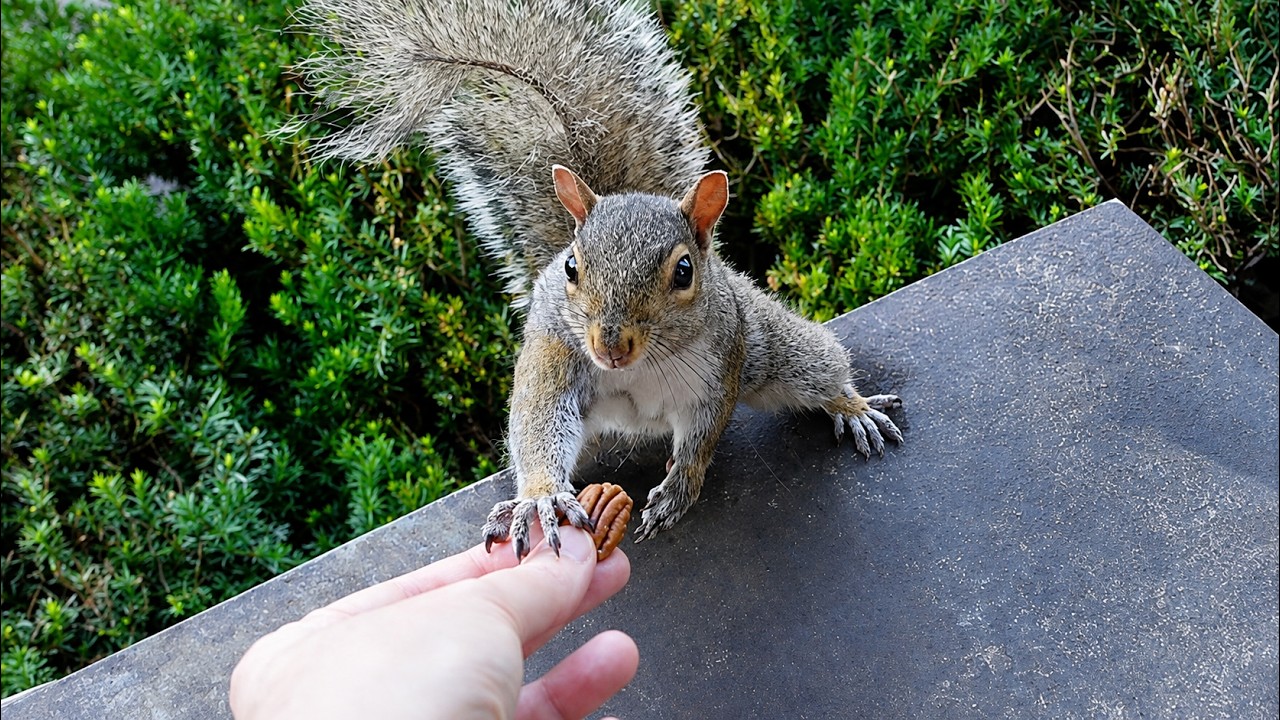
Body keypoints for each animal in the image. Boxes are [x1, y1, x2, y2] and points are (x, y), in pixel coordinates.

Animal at [289, 0, 904, 558]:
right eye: (571, 267)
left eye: (684, 271)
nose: (610, 346)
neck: (643, 366)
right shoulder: (556, 351)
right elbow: (538, 422)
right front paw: (539, 497)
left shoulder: (720, 365)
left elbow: (703, 438)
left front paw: (679, 490)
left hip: (770, 346)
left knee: (814, 367)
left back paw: (852, 407)